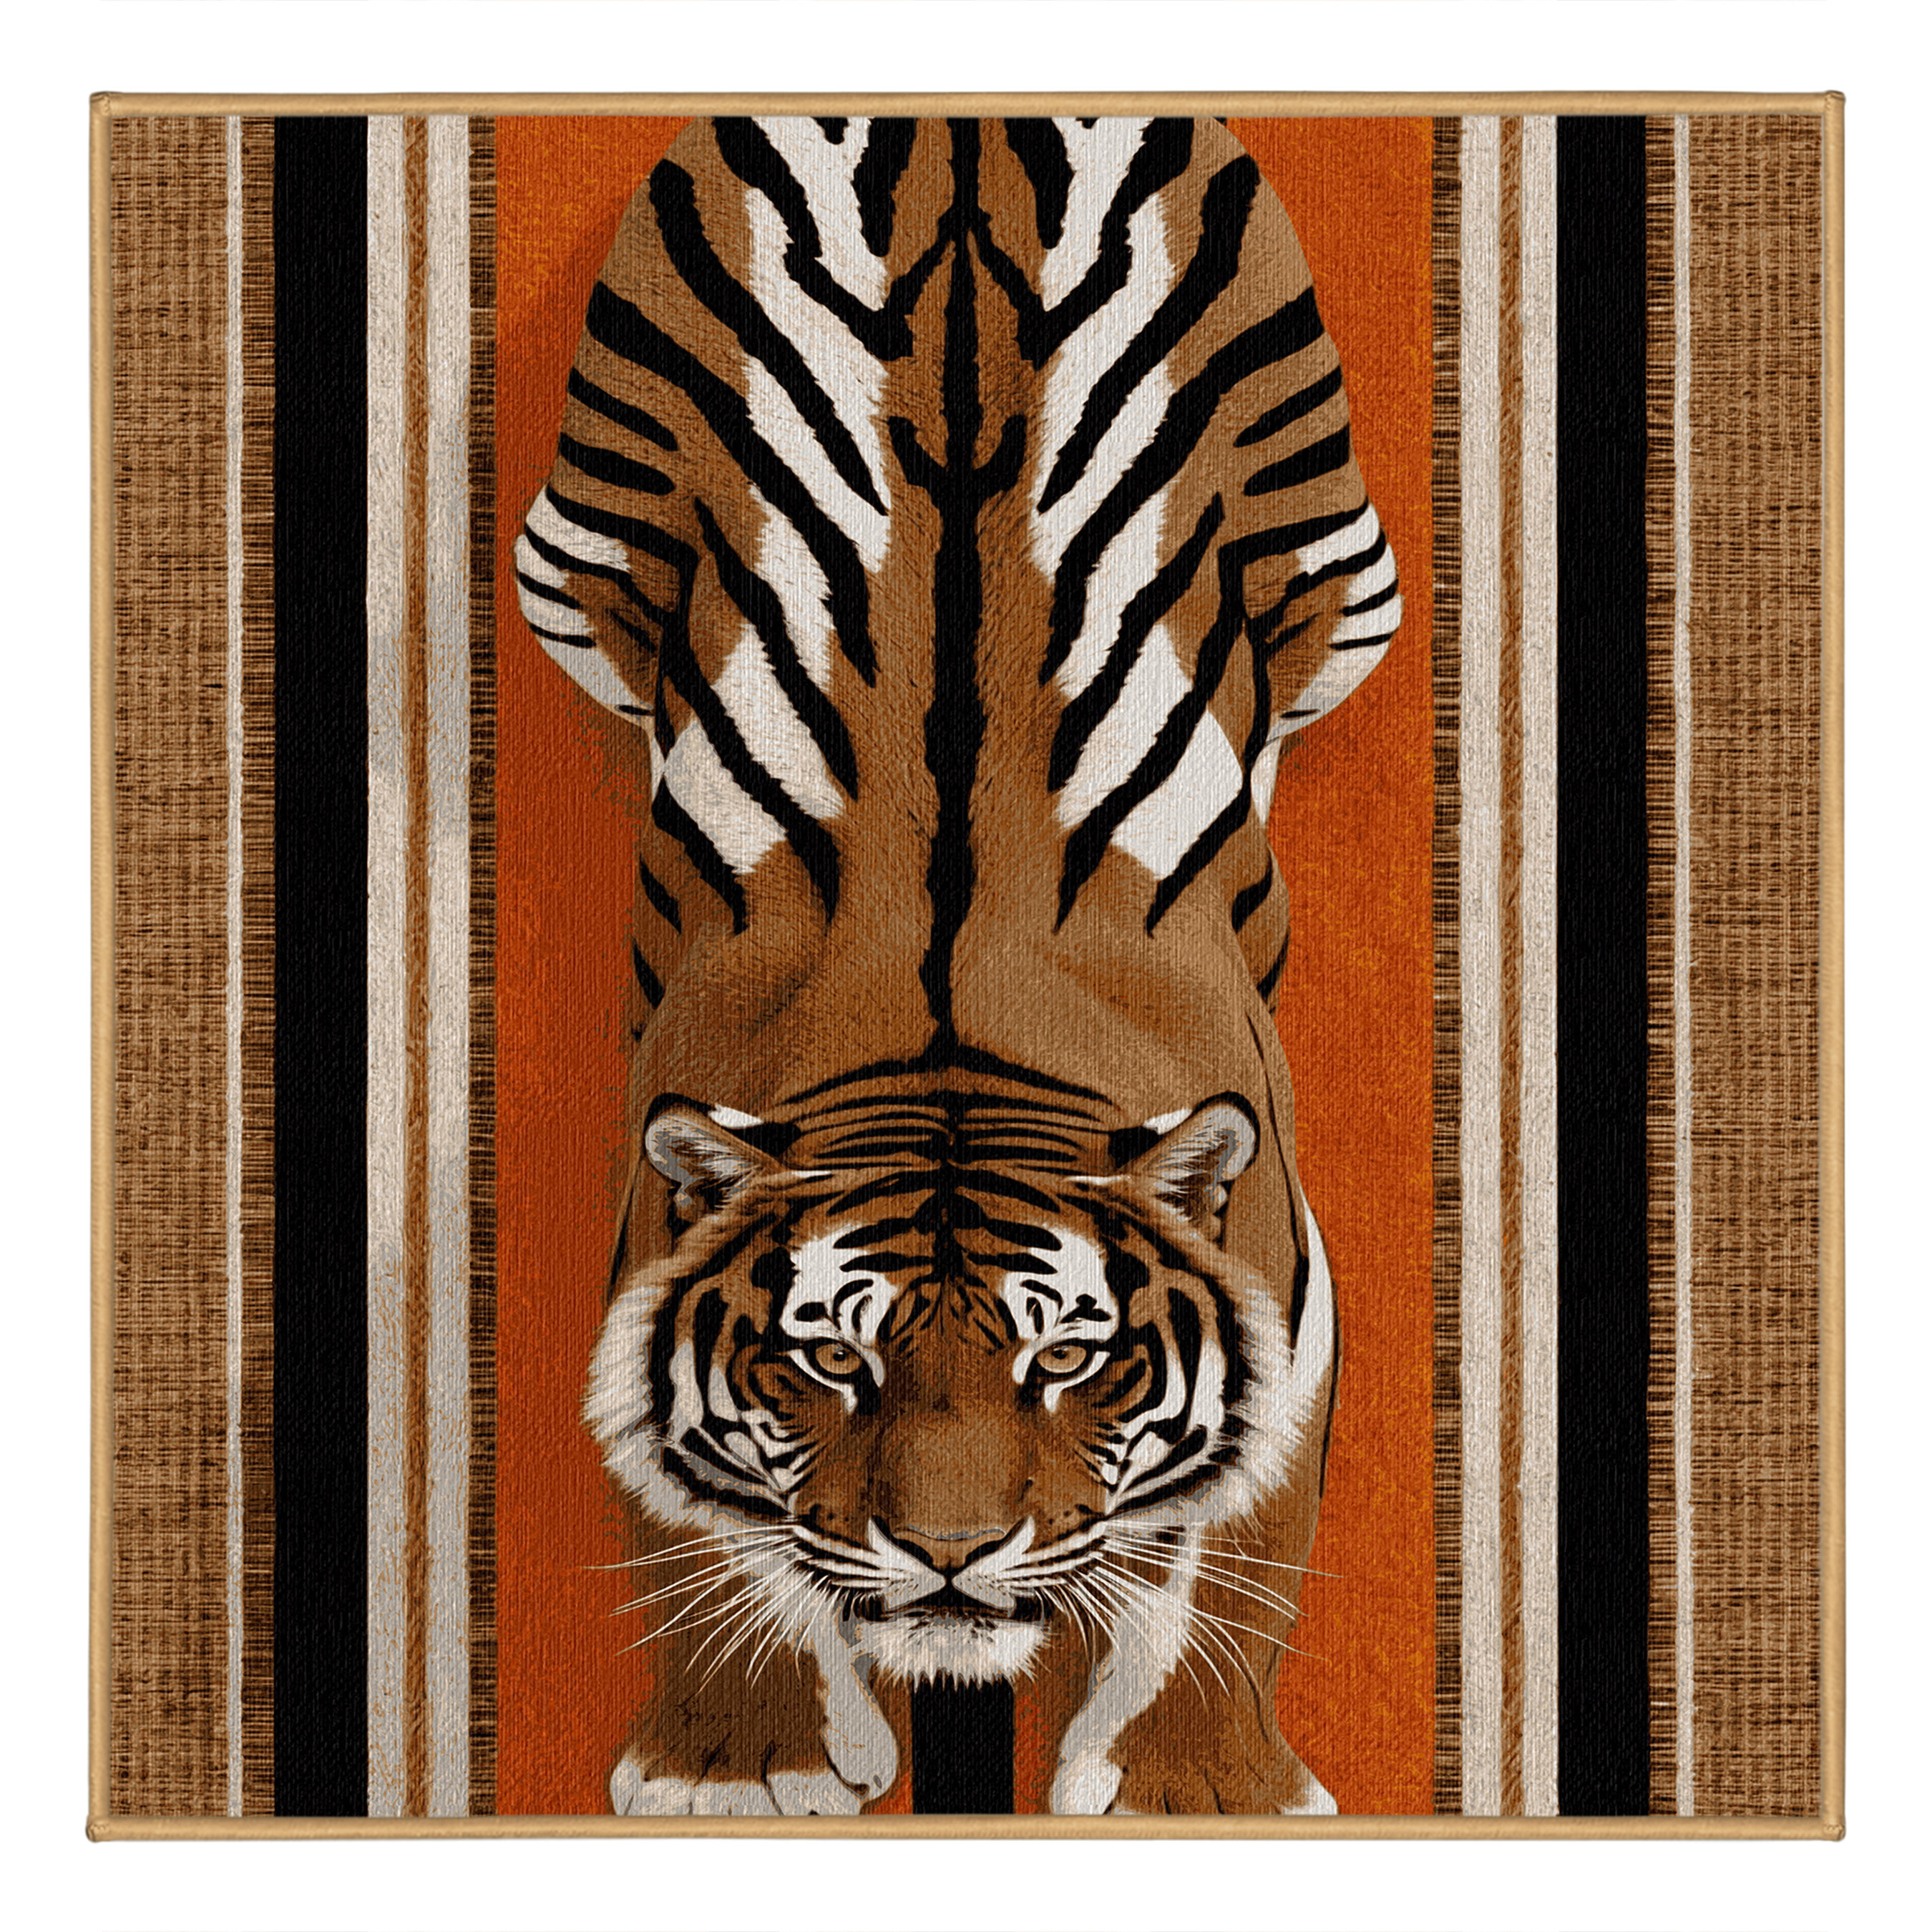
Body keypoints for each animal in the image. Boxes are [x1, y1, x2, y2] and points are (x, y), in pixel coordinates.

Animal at [515, 114, 1401, 1816]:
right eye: (827, 1361)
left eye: (1068, 1357)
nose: (947, 1555)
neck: (951, 1053)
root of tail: (962, 118)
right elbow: (701, 1534)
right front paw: (749, 1771)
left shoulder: (1282, 1281)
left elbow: (1232, 1549)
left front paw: (1197, 1791)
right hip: (574, 565)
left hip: (1342, 572)